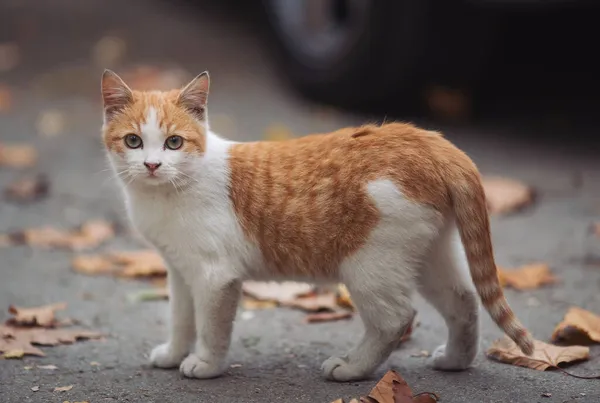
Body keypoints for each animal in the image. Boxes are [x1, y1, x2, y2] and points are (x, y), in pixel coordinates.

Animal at [99, 70, 536, 386]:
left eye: (173, 143)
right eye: (133, 141)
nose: (152, 165)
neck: (167, 193)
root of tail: (427, 139)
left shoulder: (214, 276)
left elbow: (210, 328)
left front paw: (205, 364)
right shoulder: (180, 270)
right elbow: (181, 318)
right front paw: (174, 354)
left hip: (370, 266)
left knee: (394, 319)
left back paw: (353, 368)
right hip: (430, 256)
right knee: (464, 301)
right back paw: (455, 361)